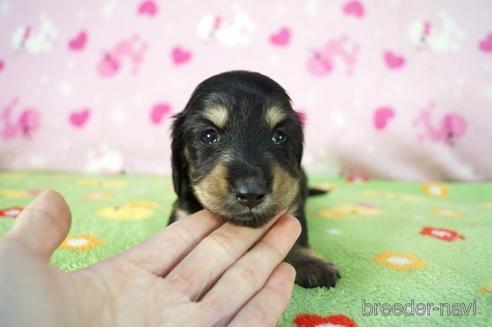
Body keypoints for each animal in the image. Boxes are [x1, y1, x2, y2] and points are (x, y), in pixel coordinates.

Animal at [167, 70, 340, 288]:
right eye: (208, 135)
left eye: (280, 137)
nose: (250, 193)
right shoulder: (181, 210)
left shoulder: (293, 206)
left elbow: (299, 235)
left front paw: (311, 263)